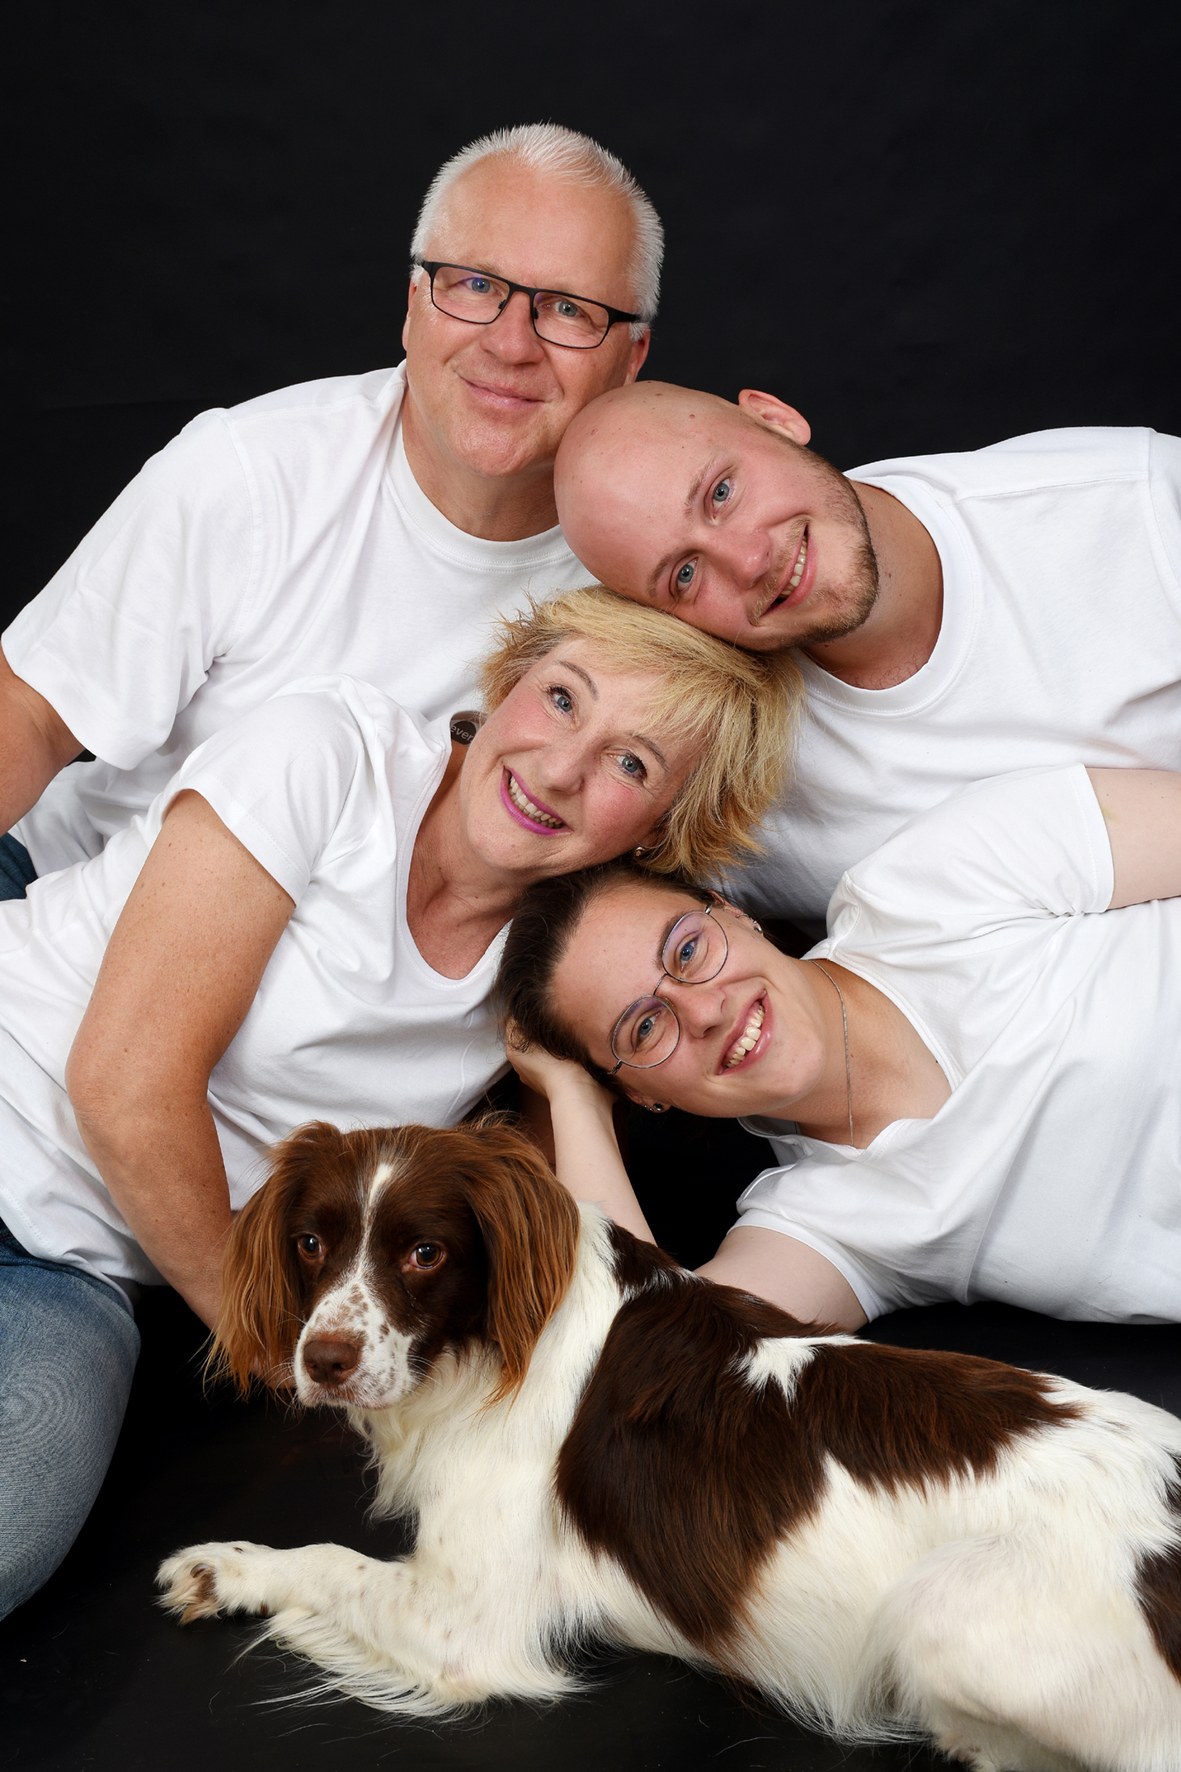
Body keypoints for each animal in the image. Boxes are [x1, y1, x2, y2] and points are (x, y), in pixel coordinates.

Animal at [159, 1119, 1181, 1770]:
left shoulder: (466, 1624)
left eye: (425, 1254)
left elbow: (326, 1558)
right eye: (308, 1243)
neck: (491, 1346)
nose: (321, 1361)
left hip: (940, 1610)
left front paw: (226, 1566)